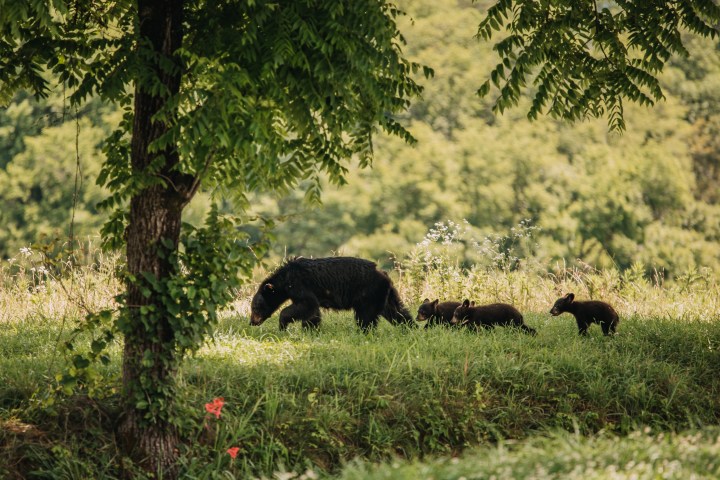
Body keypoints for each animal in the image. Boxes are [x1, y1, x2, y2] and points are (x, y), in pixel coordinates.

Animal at [249, 256, 414, 332]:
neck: (285, 279)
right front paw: (311, 329)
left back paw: (363, 332)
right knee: (397, 311)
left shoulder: (299, 285)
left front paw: (283, 324)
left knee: (365, 316)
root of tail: (384, 273)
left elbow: (306, 304)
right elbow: (312, 311)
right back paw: (410, 327)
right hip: (385, 294)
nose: (252, 322)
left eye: (255, 308)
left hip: (368, 293)